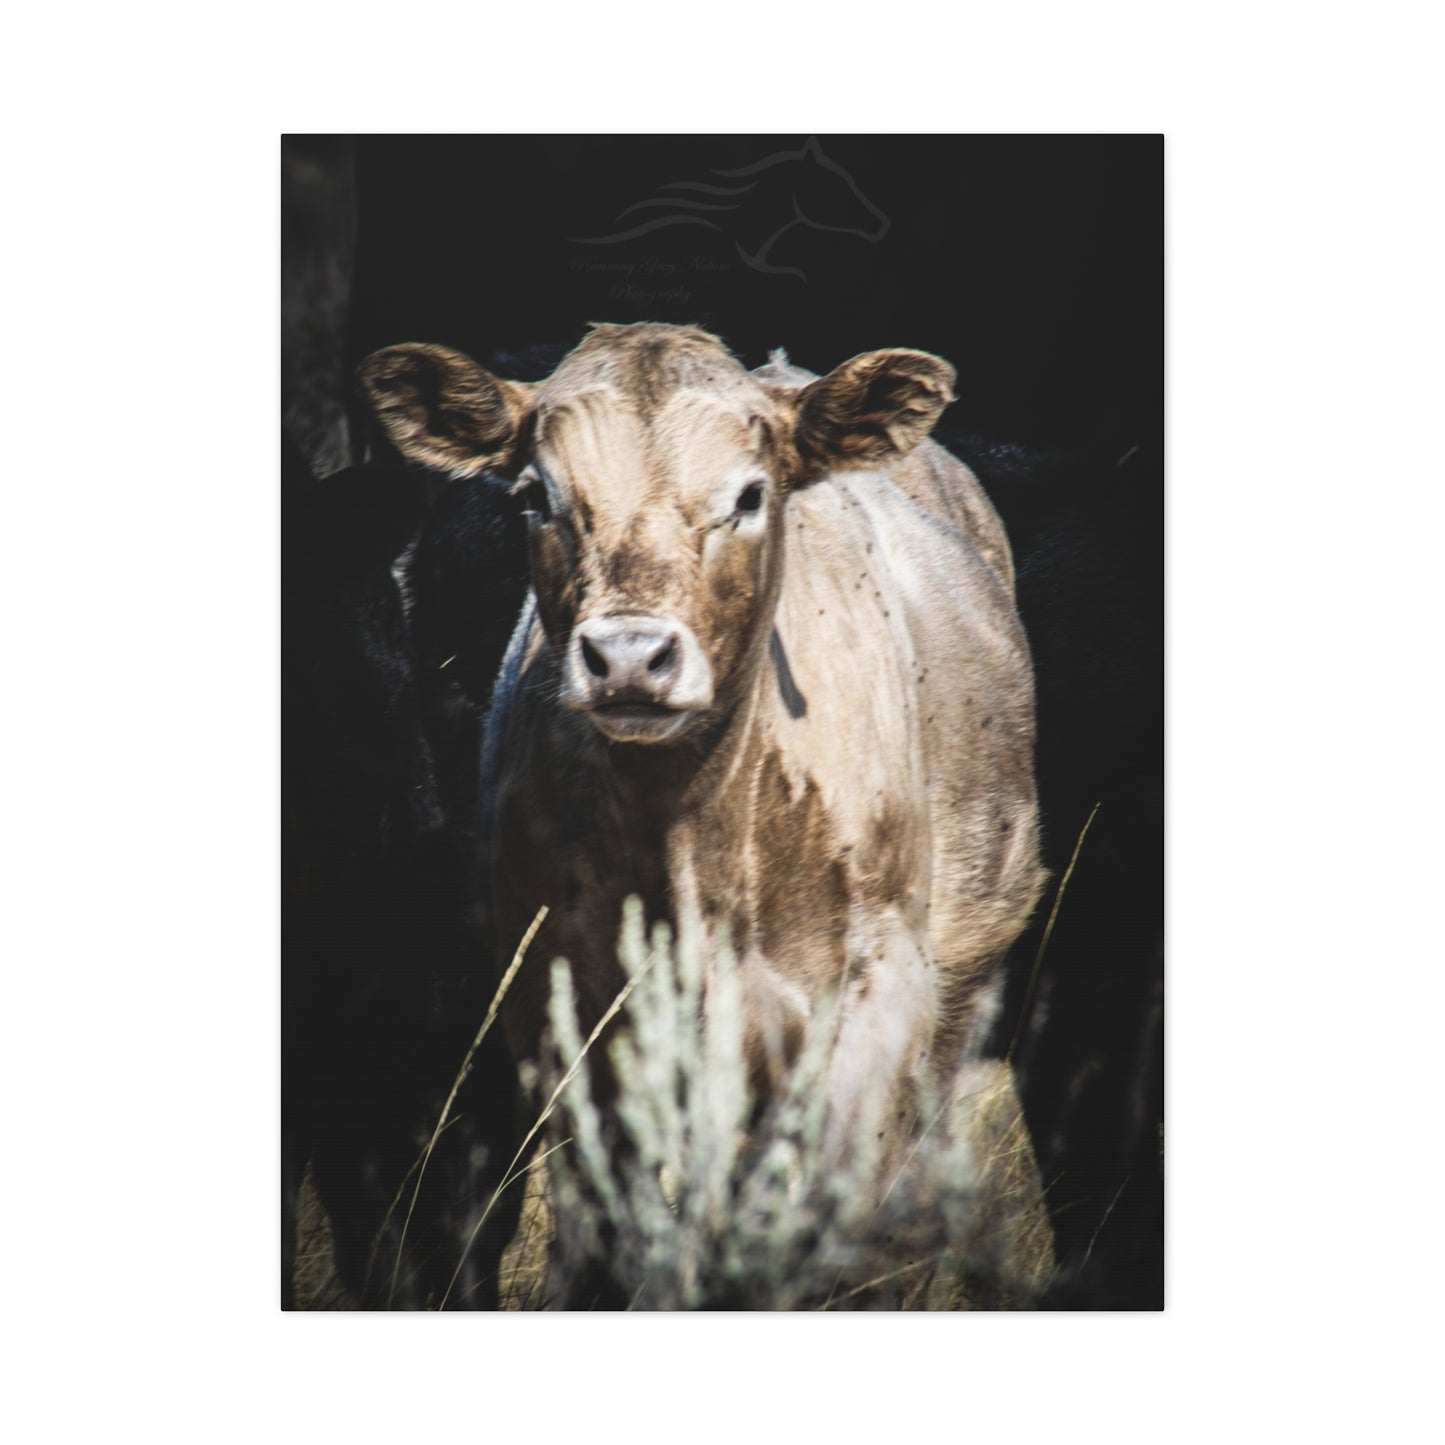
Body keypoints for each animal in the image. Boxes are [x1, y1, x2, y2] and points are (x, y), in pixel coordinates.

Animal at [359, 321, 1050, 1299]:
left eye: (750, 494)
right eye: (537, 496)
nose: (628, 656)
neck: (692, 844)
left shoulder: (876, 992)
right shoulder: (557, 1012)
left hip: (958, 990)